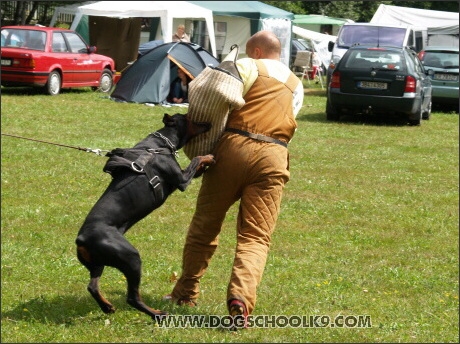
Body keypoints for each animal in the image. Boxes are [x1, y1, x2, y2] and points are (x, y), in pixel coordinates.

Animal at [77, 113, 216, 320]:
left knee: (92, 286)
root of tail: (81, 239)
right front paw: (208, 156)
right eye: (189, 118)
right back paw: (157, 314)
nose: (208, 122)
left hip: (97, 263)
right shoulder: (182, 179)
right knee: (132, 297)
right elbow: (197, 160)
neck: (161, 144)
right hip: (131, 258)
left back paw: (107, 306)